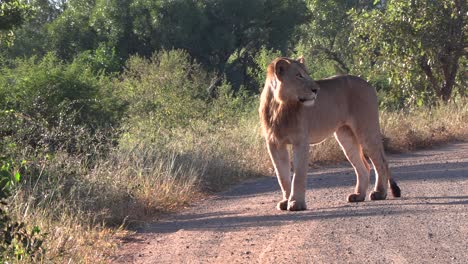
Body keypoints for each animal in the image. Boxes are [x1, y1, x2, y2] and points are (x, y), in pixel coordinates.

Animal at [258, 56, 400, 211]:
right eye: (298, 76)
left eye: (307, 74)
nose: (316, 90)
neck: (280, 106)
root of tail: (368, 84)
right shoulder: (274, 143)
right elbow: (281, 175)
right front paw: (285, 201)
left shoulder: (301, 141)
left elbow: (298, 175)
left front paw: (296, 203)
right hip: (346, 136)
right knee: (364, 167)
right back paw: (358, 195)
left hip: (366, 130)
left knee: (381, 162)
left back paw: (379, 193)